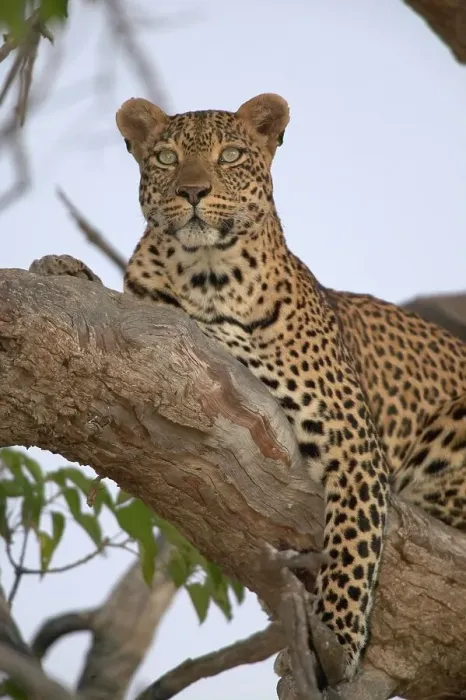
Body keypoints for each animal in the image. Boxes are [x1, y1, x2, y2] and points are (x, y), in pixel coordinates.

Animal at [115, 92, 466, 682]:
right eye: (165, 158)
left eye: (231, 155)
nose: (192, 191)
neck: (209, 276)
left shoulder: (355, 443)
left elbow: (351, 547)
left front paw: (339, 645)